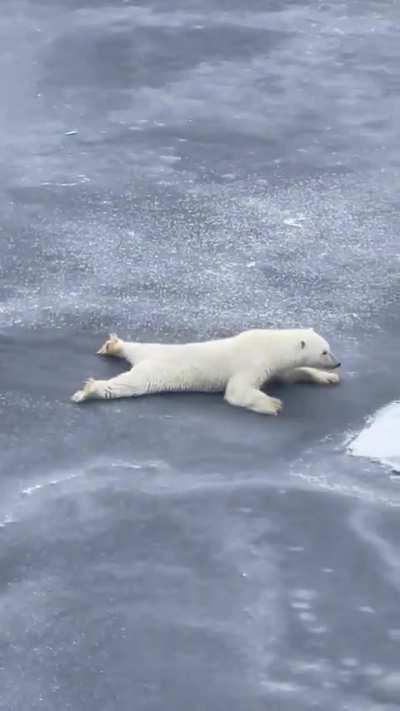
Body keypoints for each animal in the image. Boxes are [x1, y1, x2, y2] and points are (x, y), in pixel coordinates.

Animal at [71, 328, 341, 416]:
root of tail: (145, 360)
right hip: (153, 372)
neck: (269, 344)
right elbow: (237, 391)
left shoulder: (272, 365)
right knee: (127, 385)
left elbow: (290, 373)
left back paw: (113, 345)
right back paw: (88, 390)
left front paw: (329, 377)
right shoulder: (251, 362)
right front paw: (273, 404)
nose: (338, 363)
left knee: (135, 346)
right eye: (325, 351)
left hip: (151, 349)